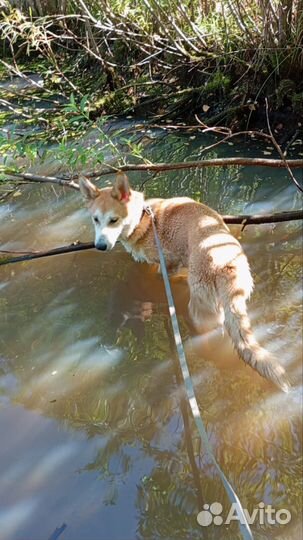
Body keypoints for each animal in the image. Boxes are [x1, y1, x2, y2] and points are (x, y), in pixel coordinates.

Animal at [79, 173, 290, 392]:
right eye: (95, 219)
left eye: (114, 220)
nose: (100, 246)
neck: (143, 219)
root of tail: (225, 263)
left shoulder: (165, 263)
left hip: (199, 311)